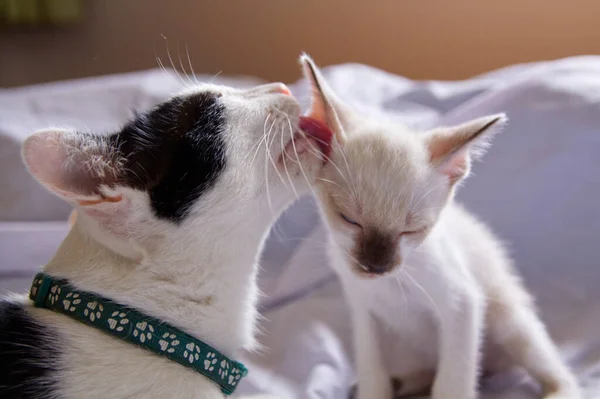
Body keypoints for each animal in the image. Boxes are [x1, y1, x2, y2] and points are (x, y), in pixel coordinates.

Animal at [300, 55, 580, 399]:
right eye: (349, 219)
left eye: (412, 230)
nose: (375, 267)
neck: (392, 284)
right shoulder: (365, 317)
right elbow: (373, 376)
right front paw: (377, 388)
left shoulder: (462, 305)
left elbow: (452, 383)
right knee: (421, 374)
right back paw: (401, 384)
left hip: (508, 321)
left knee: (554, 370)